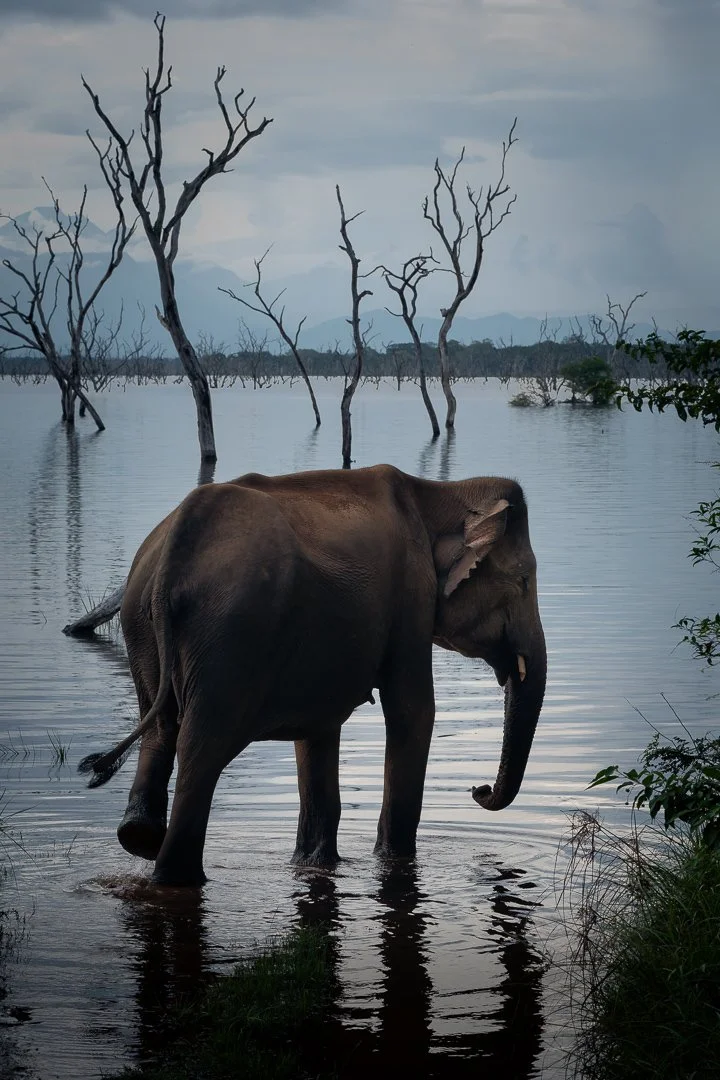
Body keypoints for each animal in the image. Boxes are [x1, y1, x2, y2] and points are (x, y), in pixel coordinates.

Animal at [79, 464, 547, 887]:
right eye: (524, 581)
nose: (478, 789)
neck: (439, 492)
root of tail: (176, 542)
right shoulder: (412, 595)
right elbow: (412, 711)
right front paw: (391, 860)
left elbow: (318, 730)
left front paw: (316, 865)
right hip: (230, 634)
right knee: (201, 746)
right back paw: (178, 878)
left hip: (141, 624)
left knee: (161, 728)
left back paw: (140, 837)